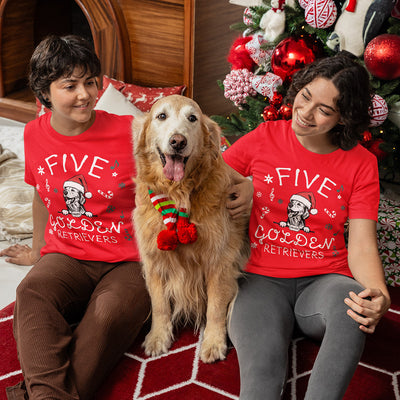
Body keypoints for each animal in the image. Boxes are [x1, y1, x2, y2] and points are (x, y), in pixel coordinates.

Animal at [133, 95, 248, 364]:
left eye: (192, 118)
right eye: (161, 116)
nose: (178, 141)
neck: (179, 195)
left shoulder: (219, 260)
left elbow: (215, 307)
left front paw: (214, 342)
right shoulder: (153, 260)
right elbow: (159, 305)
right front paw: (158, 336)